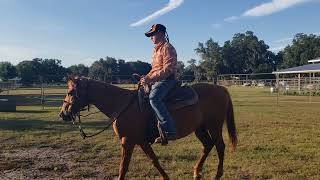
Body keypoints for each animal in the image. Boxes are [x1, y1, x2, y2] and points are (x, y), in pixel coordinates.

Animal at [58, 77, 236, 180]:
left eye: (71, 92)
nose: (63, 114)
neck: (123, 105)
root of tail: (222, 89)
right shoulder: (141, 141)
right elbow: (154, 161)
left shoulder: (128, 142)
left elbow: (123, 167)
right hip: (200, 129)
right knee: (207, 146)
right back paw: (196, 172)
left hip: (214, 126)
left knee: (220, 146)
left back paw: (217, 175)